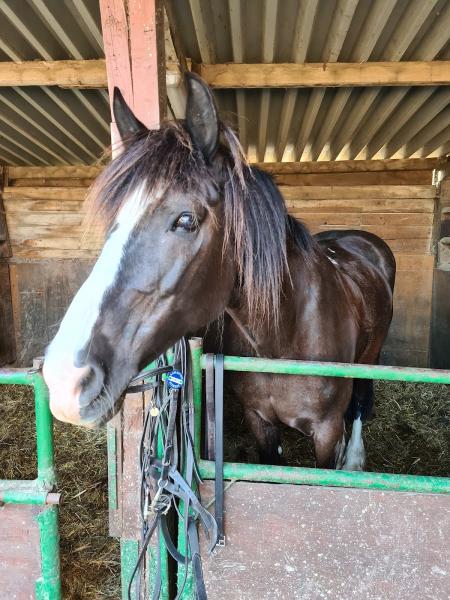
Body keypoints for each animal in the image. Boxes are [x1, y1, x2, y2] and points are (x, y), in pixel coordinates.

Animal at [42, 74, 394, 468]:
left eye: (186, 220)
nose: (66, 378)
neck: (287, 337)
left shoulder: (327, 433)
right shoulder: (260, 422)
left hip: (370, 359)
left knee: (361, 403)